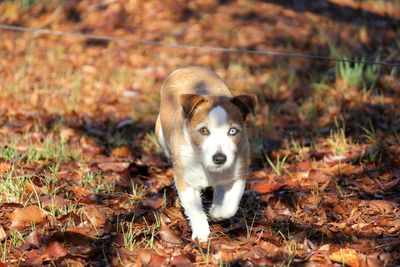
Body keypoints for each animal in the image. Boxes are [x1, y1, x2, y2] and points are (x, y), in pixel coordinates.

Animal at [155, 66, 255, 243]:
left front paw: (216, 211)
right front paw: (201, 233)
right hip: (160, 134)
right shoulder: (186, 182)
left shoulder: (238, 173)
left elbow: (230, 204)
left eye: (233, 131)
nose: (220, 159)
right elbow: (195, 209)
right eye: (203, 131)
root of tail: (186, 68)